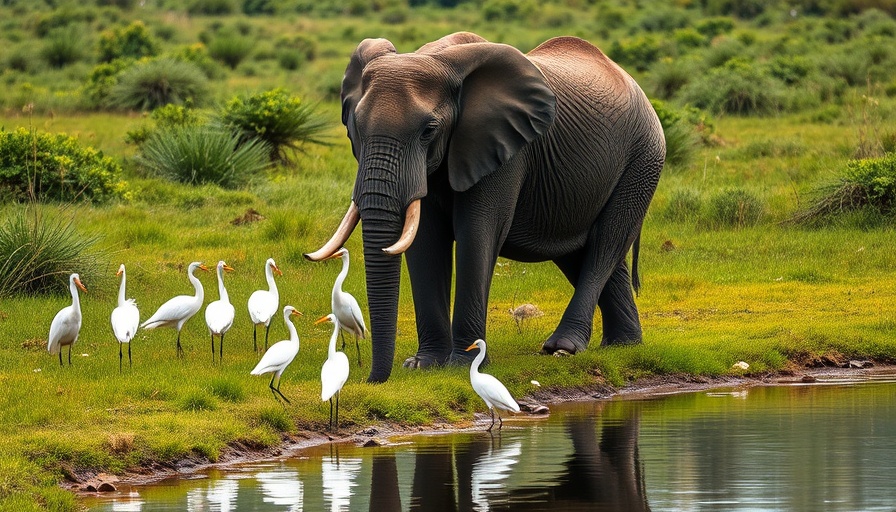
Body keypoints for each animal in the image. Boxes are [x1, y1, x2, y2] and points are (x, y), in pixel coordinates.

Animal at [306, 32, 665, 383]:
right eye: (355, 126)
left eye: (428, 131)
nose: (372, 380)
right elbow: (425, 240)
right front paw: (423, 365)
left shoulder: (504, 151)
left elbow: (477, 233)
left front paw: (461, 366)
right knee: (580, 252)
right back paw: (623, 346)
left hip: (643, 158)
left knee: (607, 243)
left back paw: (563, 347)